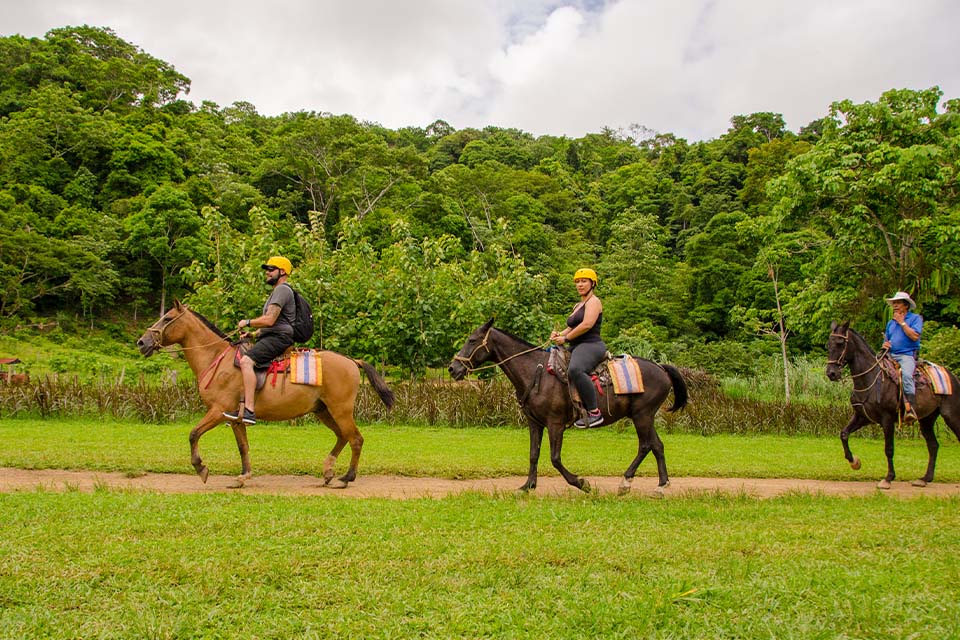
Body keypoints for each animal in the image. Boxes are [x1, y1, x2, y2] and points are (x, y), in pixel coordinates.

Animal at [135, 302, 394, 488]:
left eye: (167, 318)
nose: (141, 342)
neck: (216, 360)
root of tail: (351, 361)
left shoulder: (218, 411)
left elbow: (193, 434)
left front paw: (201, 468)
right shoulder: (235, 418)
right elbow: (243, 447)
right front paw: (243, 476)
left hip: (340, 409)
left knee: (355, 439)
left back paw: (346, 477)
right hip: (323, 410)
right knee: (342, 436)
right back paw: (329, 470)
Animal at [446, 320, 688, 496]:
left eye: (472, 340)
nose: (452, 368)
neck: (536, 372)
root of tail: (661, 368)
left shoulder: (555, 424)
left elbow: (554, 458)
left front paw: (581, 483)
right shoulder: (534, 422)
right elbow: (533, 454)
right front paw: (527, 486)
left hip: (642, 415)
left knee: (645, 445)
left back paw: (626, 483)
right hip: (644, 416)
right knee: (657, 445)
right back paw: (661, 486)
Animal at [824, 320, 960, 490]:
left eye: (841, 343)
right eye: (828, 345)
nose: (831, 373)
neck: (871, 378)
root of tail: (953, 377)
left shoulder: (887, 419)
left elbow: (888, 449)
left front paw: (888, 478)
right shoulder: (863, 416)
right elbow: (844, 434)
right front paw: (854, 462)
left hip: (951, 416)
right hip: (927, 419)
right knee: (933, 445)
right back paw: (924, 478)